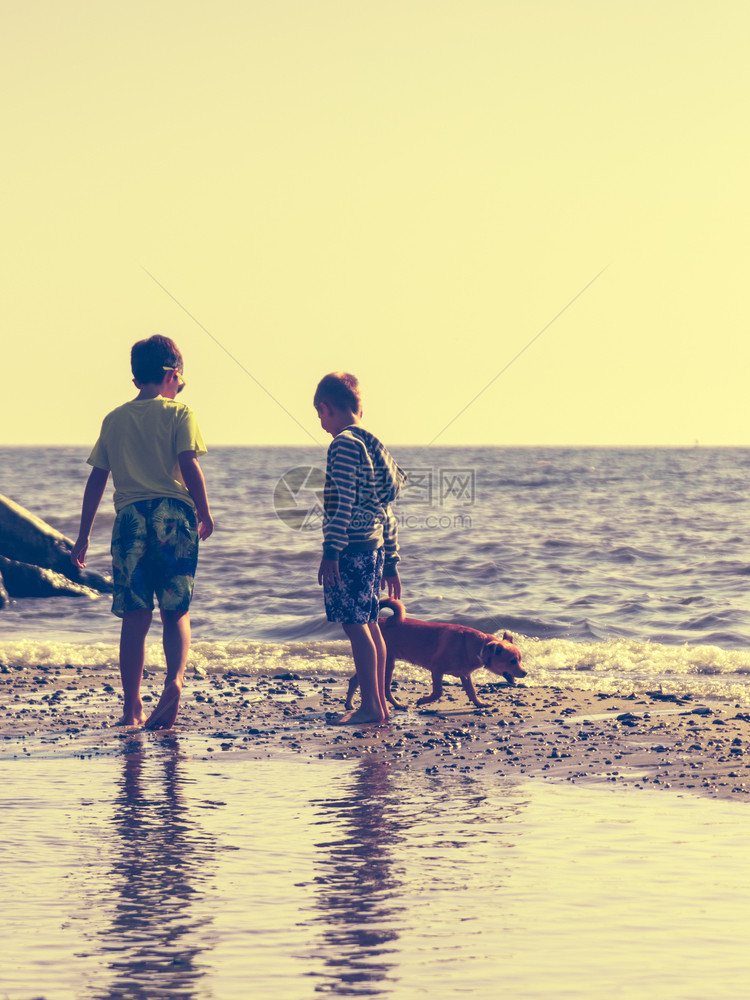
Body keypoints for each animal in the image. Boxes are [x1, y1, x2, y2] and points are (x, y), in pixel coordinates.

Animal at [346, 592, 528, 712]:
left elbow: (472, 691)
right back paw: (396, 705)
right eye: (512, 661)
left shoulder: (465, 675)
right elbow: (438, 691)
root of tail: (379, 622)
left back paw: (349, 704)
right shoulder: (437, 669)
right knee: (384, 689)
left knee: (356, 680)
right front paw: (423, 700)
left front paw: (479, 703)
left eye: (520, 659)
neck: (479, 646)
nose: (525, 673)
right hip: (387, 664)